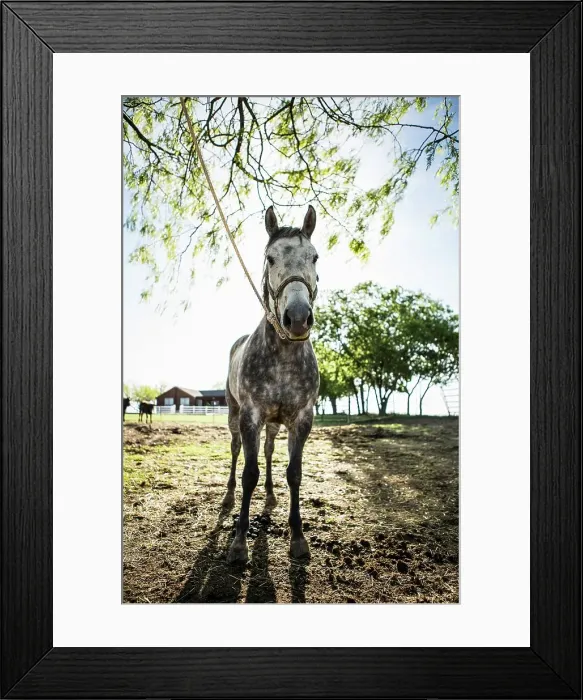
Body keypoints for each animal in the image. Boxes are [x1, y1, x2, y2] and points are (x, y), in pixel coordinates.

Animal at [224, 205, 320, 564]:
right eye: (270, 258)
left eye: (314, 257)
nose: (298, 318)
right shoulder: (250, 416)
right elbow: (248, 473)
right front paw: (239, 543)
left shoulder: (302, 419)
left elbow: (294, 472)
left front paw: (298, 538)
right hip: (233, 415)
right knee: (237, 451)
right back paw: (227, 498)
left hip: (274, 424)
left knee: (266, 451)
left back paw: (269, 496)